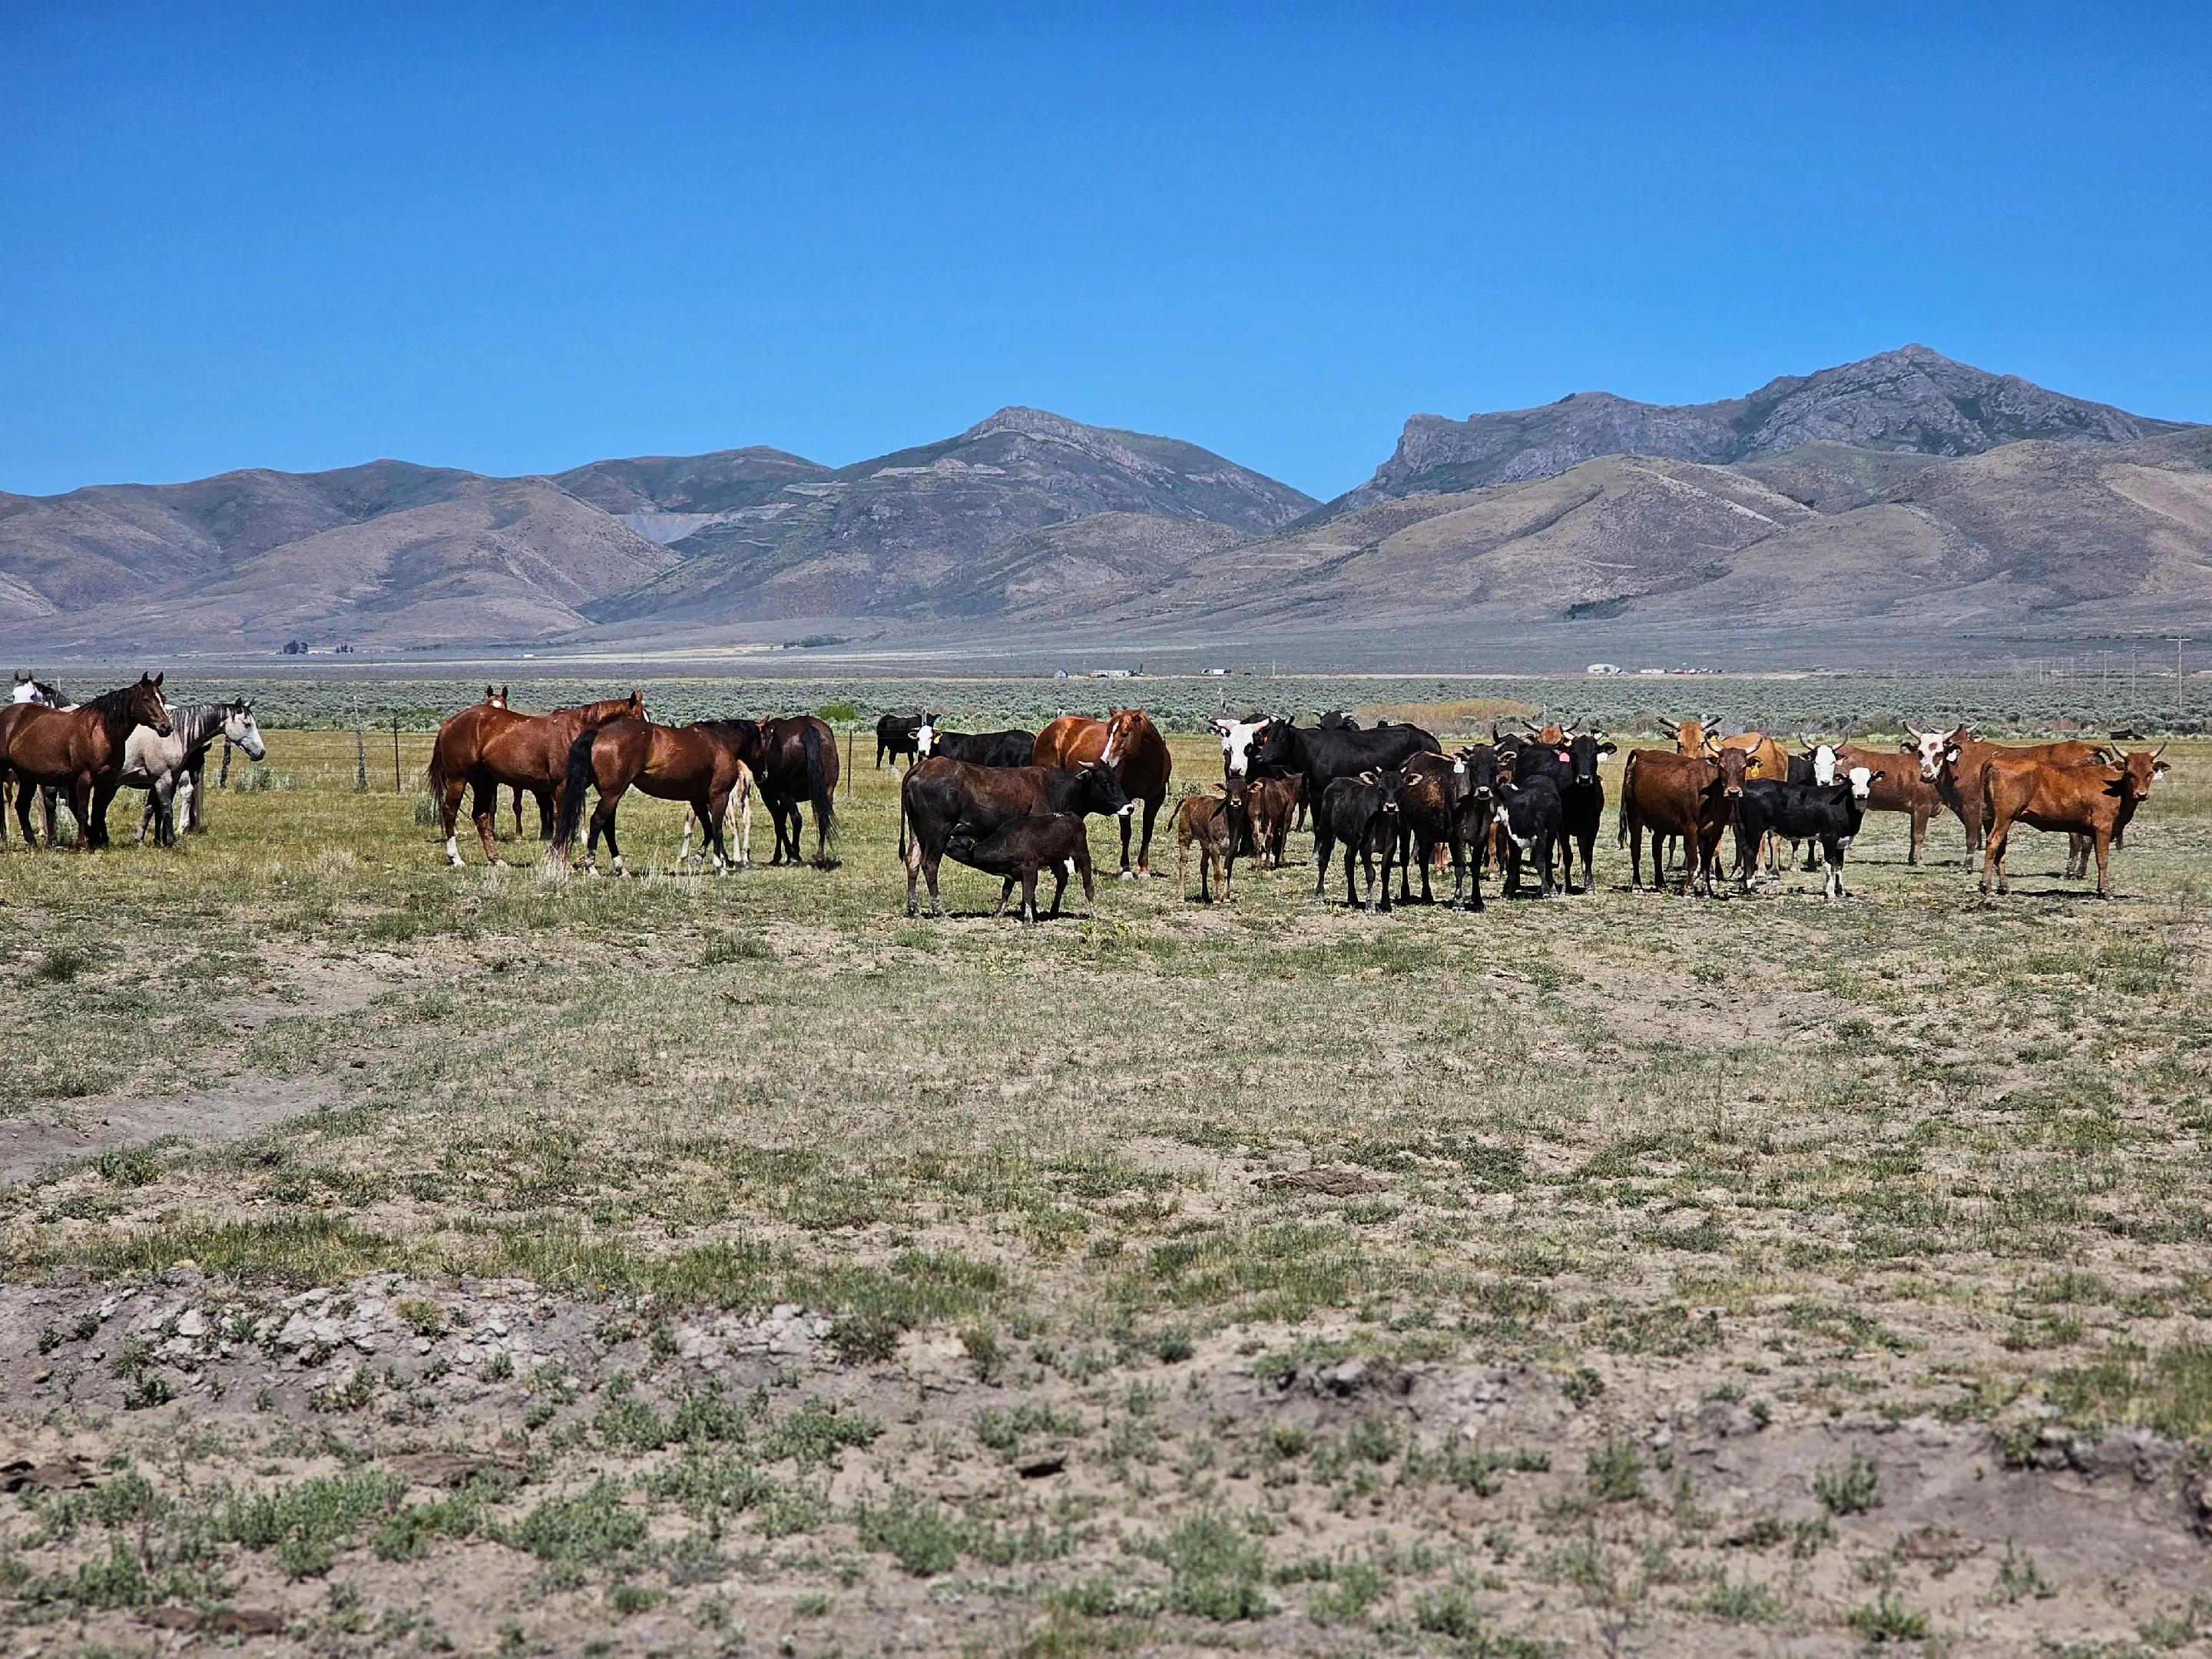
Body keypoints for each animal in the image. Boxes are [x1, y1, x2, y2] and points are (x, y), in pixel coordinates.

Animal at [942, 813, 1095, 924]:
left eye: (957, 843)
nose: (944, 846)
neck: (1007, 842)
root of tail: (1070, 816)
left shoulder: (1029, 868)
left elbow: (1027, 893)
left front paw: (1028, 919)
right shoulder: (1010, 872)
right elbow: (1005, 892)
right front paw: (998, 913)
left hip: (1082, 853)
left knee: (1088, 885)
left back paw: (1093, 914)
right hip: (1056, 860)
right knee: (1062, 879)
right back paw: (1053, 911)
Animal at [1314, 767, 1406, 912]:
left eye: (1401, 788)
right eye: (1380, 788)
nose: (1391, 807)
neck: (1381, 822)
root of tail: (1337, 780)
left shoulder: (1391, 847)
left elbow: (1385, 874)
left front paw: (1386, 904)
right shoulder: (1365, 847)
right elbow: (1370, 874)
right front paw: (1370, 904)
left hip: (1351, 841)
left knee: (1348, 862)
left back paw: (1353, 898)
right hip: (1327, 831)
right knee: (1323, 861)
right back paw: (1319, 896)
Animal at [1617, 744, 1750, 896]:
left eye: (1744, 767)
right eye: (1722, 767)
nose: (1733, 792)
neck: (1711, 792)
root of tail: (1642, 754)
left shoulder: (1716, 830)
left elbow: (1707, 859)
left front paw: (1707, 889)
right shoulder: (1691, 828)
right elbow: (1693, 860)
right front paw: (1689, 889)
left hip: (1661, 823)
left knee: (1656, 848)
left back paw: (1661, 883)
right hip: (1634, 817)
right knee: (1636, 850)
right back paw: (1637, 886)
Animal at [1734, 765, 1883, 899]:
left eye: (1869, 780)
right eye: (1851, 781)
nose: (1861, 795)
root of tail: (1747, 785)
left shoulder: (1841, 842)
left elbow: (1839, 865)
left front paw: (1841, 891)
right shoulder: (1829, 837)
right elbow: (1830, 864)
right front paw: (1830, 892)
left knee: (1744, 848)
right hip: (1754, 828)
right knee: (1750, 851)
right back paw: (1751, 887)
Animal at [1982, 746, 2168, 898]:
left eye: (2150, 773)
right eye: (2130, 773)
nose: (2141, 794)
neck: (2116, 788)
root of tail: (1996, 760)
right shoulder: (2103, 827)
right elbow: (2102, 859)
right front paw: (2105, 890)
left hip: (1996, 817)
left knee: (2001, 848)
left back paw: (2004, 887)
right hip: (2005, 816)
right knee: (1993, 842)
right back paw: (1986, 886)